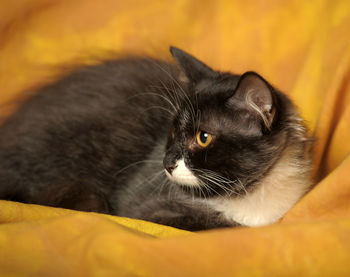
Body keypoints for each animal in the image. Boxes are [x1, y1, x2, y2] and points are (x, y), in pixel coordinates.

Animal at [0, 46, 314, 230]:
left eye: (203, 137)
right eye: (172, 131)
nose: (166, 162)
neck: (249, 194)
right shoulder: (142, 206)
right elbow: (218, 224)